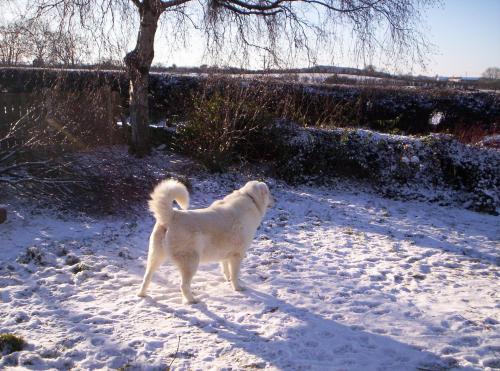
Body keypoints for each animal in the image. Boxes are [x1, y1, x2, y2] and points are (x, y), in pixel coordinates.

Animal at [137, 180, 274, 306]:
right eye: (269, 192)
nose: (275, 200)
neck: (250, 198)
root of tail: (172, 215)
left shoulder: (225, 254)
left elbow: (226, 269)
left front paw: (228, 279)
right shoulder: (237, 255)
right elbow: (235, 274)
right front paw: (237, 288)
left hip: (155, 257)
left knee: (146, 277)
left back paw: (142, 294)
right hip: (190, 262)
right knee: (183, 285)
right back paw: (192, 300)